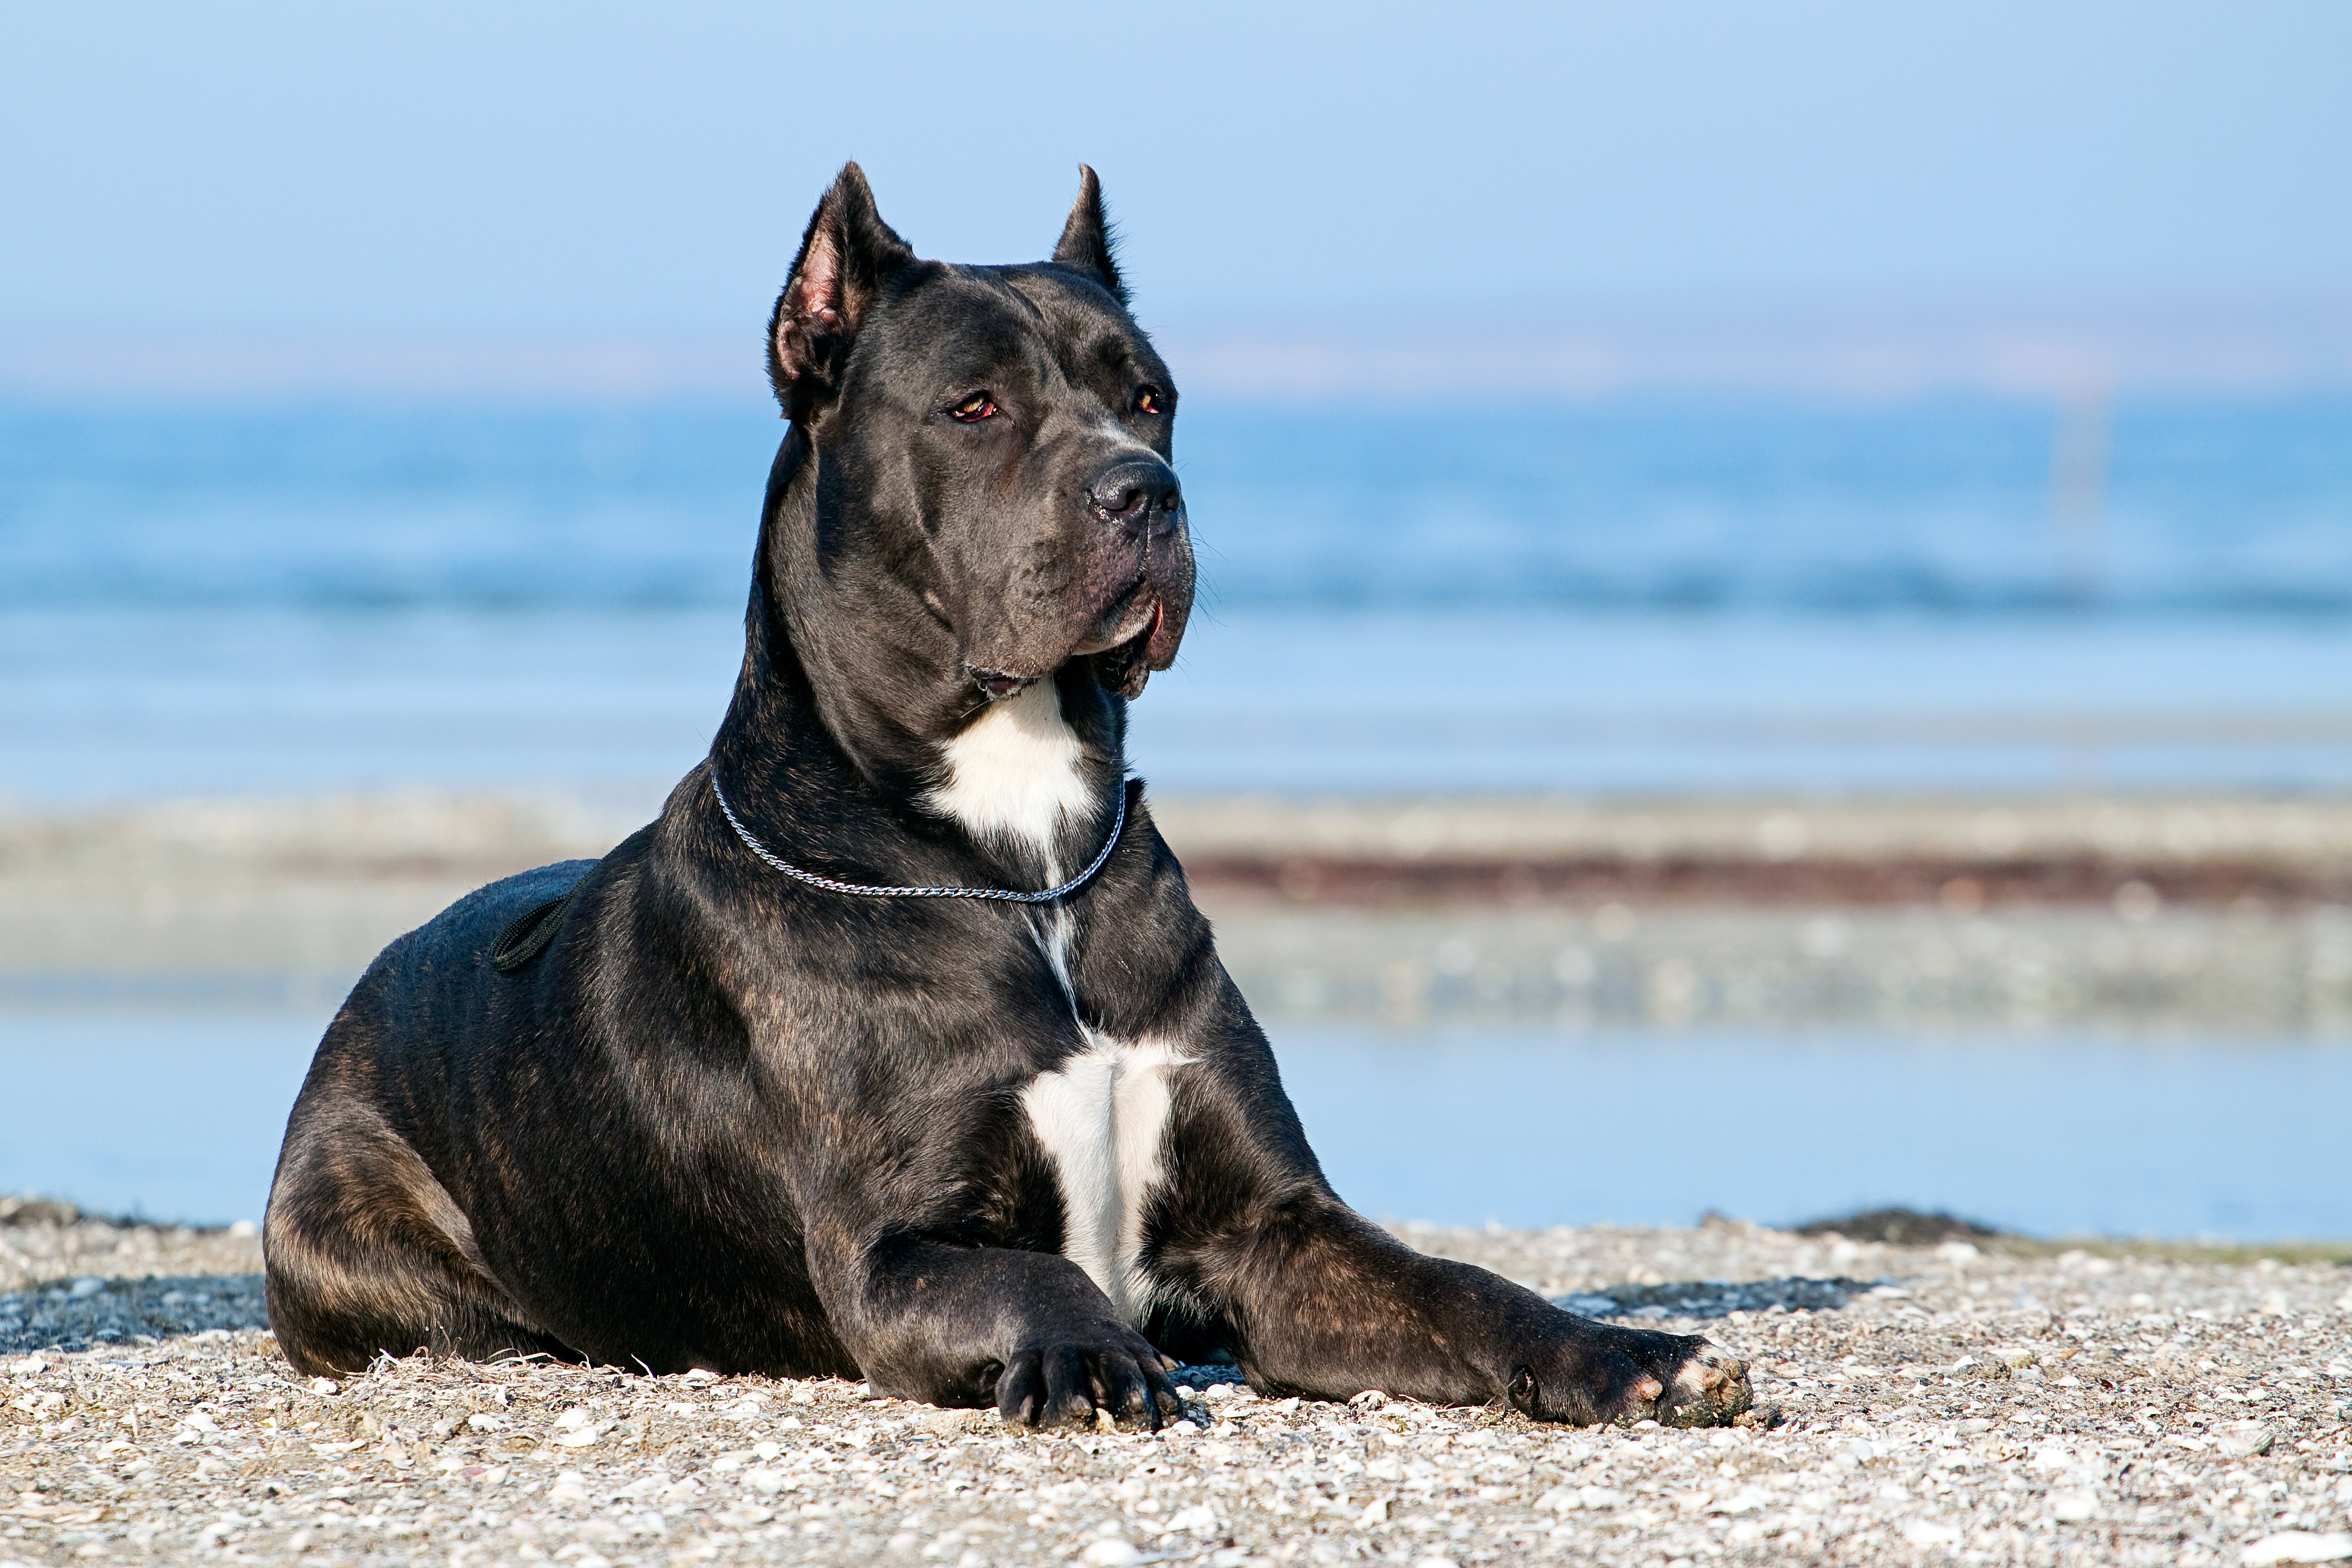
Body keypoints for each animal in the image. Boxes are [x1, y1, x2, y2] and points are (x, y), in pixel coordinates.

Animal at [267, 162, 1759, 1438]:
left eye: (1149, 397)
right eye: (973, 407)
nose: (1146, 492)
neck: (1021, 852)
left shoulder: (1280, 1229)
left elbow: (1457, 1284)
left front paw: (1631, 1351)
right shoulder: (897, 1249)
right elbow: (1037, 1276)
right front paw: (1094, 1354)